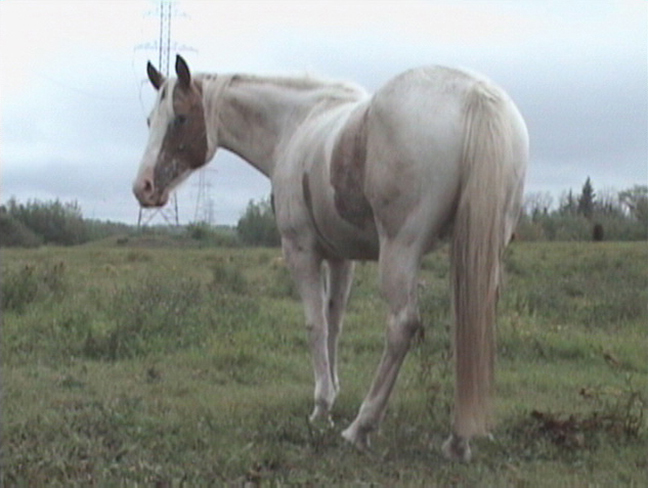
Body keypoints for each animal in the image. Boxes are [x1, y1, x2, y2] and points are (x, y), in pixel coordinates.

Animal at [132, 55, 528, 462]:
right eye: (150, 120)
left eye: (180, 118)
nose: (143, 188)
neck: (296, 124)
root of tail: (477, 97)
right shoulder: (342, 258)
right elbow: (335, 320)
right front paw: (333, 392)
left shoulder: (301, 251)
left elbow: (316, 324)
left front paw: (322, 406)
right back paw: (458, 439)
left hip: (401, 249)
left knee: (401, 326)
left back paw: (362, 427)